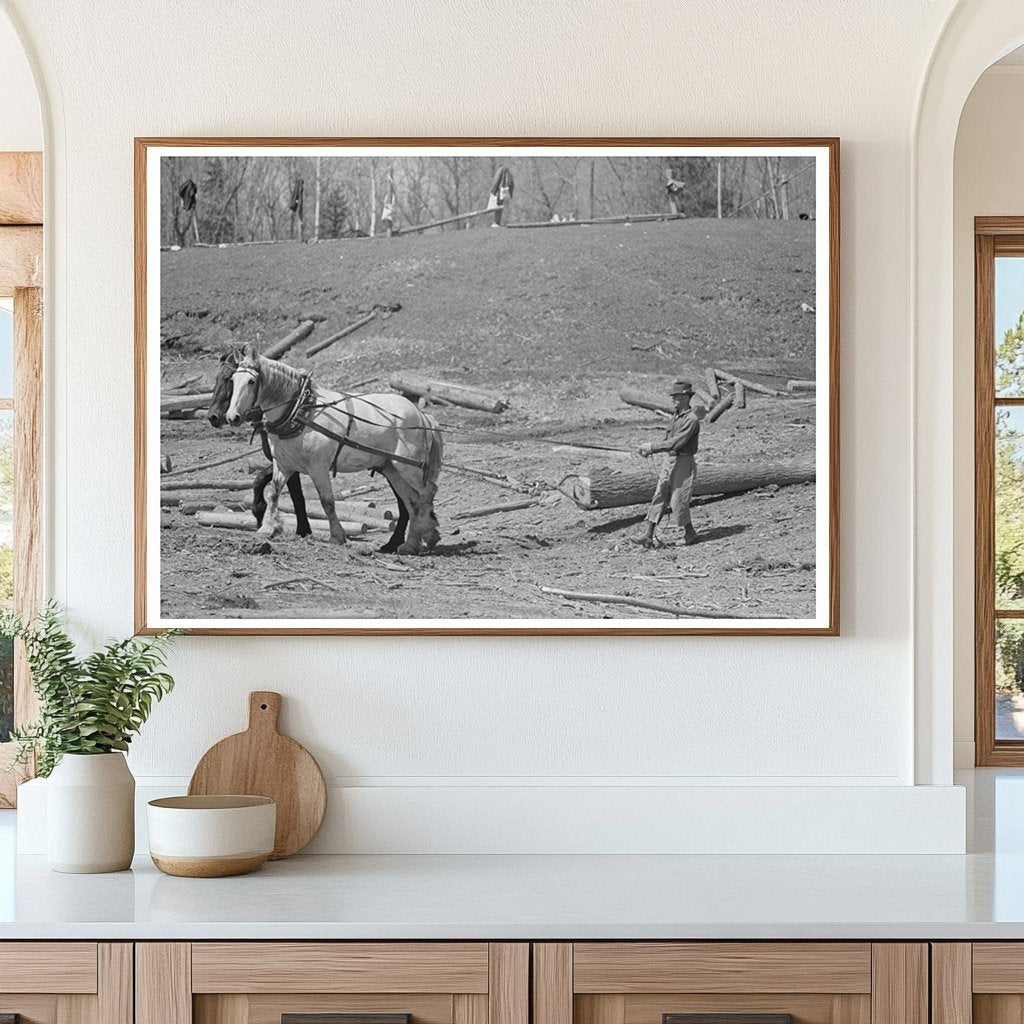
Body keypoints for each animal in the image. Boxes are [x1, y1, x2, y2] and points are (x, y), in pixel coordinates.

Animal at [226, 342, 442, 552]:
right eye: (233, 380)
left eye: (251, 381)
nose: (232, 417)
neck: (300, 411)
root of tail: (421, 414)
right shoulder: (284, 464)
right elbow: (273, 493)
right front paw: (267, 528)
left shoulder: (318, 467)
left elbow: (327, 501)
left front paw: (337, 535)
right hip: (391, 468)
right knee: (412, 501)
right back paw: (410, 544)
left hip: (409, 466)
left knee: (427, 493)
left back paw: (427, 533)